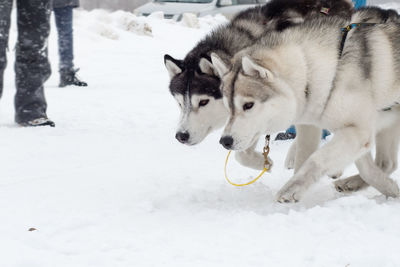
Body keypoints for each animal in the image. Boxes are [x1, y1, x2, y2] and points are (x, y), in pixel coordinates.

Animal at [164, 0, 352, 170]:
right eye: (179, 103)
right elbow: (242, 152)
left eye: (203, 102)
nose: (181, 136)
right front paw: (262, 162)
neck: (249, 41)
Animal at [214, 11, 400, 202]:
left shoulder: (358, 130)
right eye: (228, 107)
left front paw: (291, 188)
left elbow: (317, 159)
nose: (225, 141)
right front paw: (388, 187)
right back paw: (353, 183)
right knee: (387, 163)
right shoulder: (312, 126)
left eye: (248, 105)